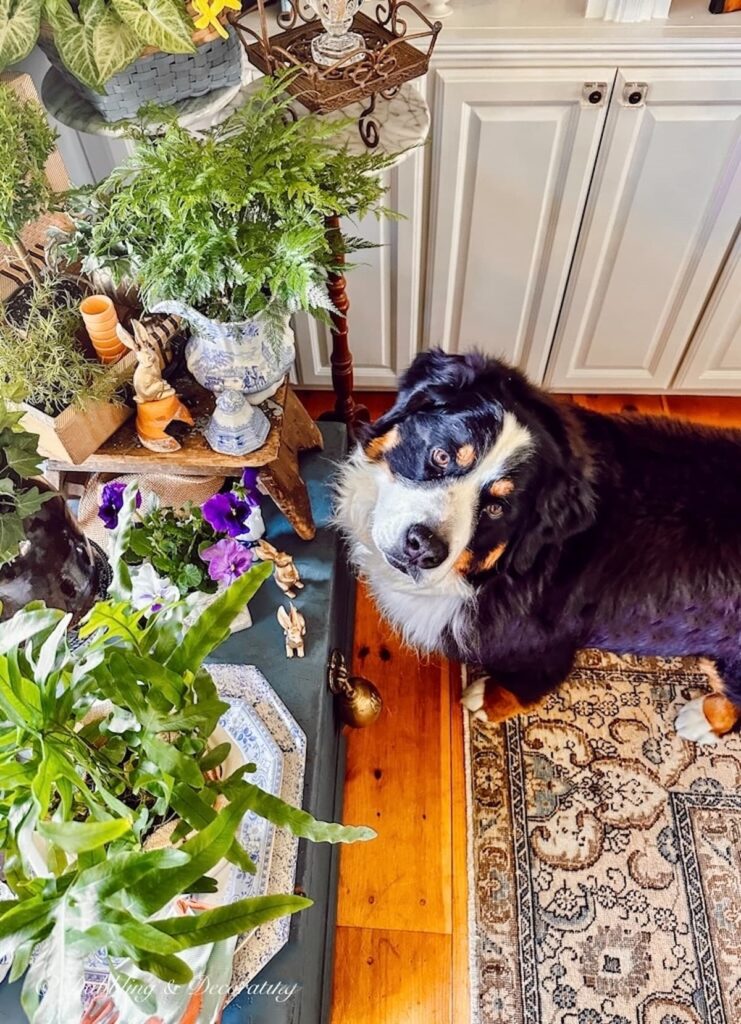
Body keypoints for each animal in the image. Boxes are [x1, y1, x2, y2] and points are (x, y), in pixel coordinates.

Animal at [335, 350, 741, 745]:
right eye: (441, 456)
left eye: (496, 508)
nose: (424, 547)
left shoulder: (548, 645)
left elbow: (529, 685)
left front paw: (488, 699)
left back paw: (704, 718)